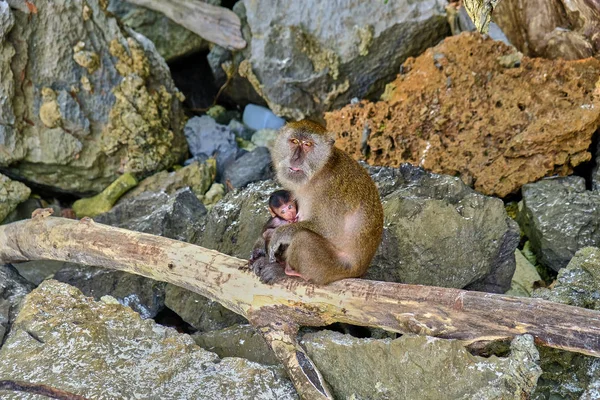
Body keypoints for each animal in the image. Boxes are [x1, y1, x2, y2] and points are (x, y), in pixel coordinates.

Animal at [250, 119, 382, 284]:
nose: (296, 158)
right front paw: (260, 245)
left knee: (303, 238)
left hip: (337, 268)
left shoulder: (330, 191)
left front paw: (279, 234)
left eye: (307, 144)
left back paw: (288, 272)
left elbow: (328, 229)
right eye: (294, 141)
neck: (319, 172)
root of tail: (361, 270)